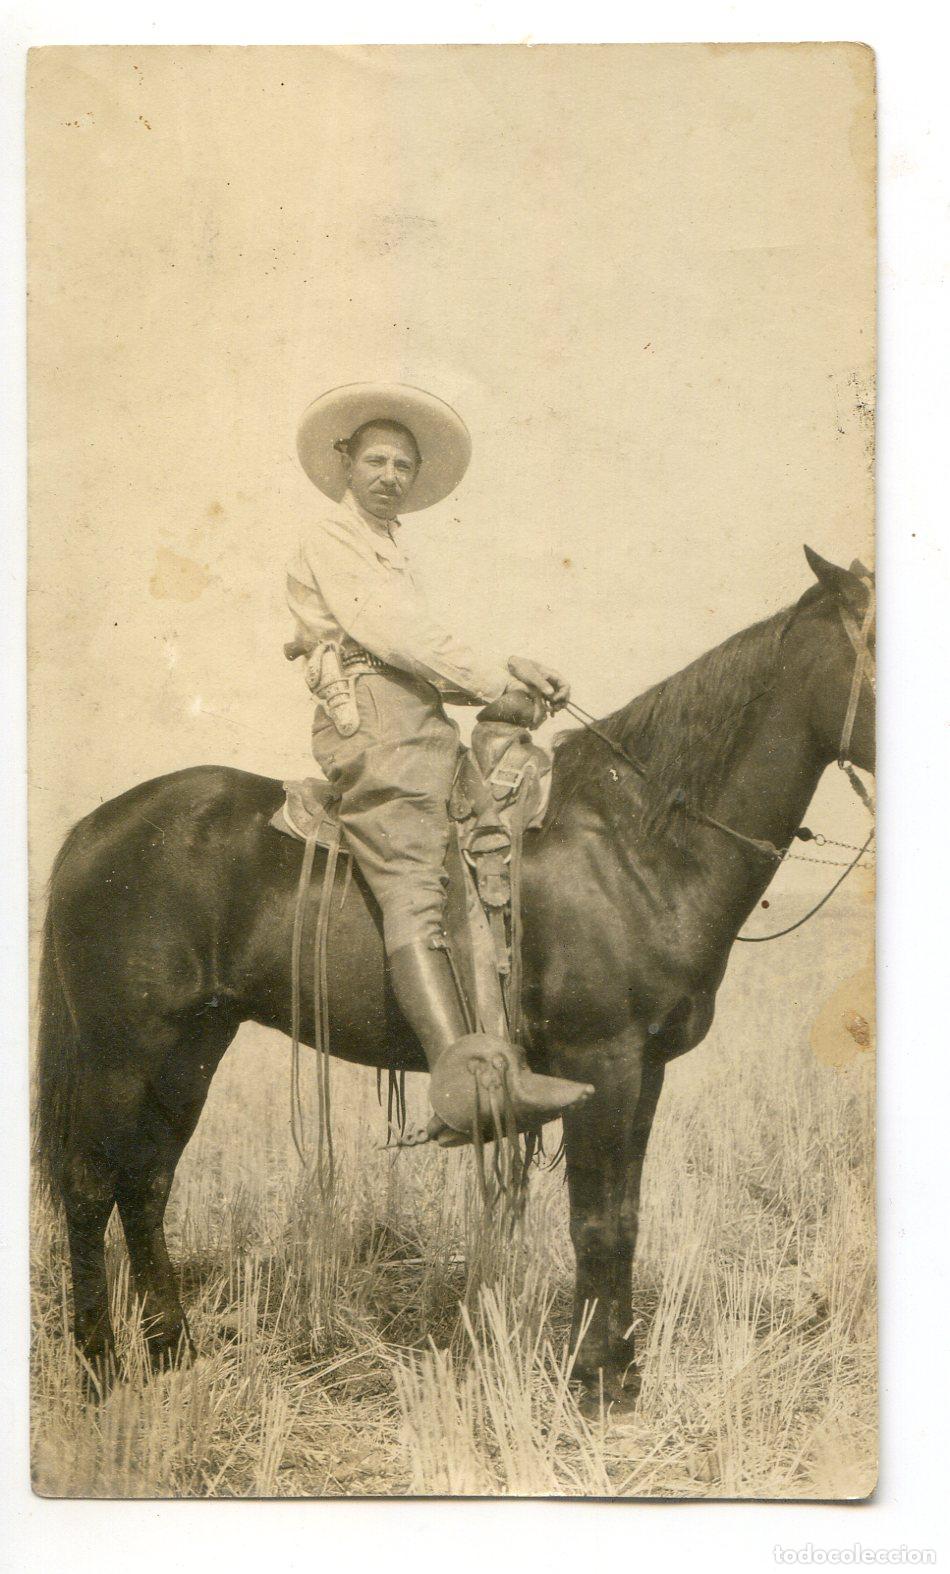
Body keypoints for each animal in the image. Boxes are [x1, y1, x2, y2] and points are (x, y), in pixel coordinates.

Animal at [34, 547, 875, 1402]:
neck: (634, 843)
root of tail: (93, 829)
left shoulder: (645, 1070)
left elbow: (624, 1216)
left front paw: (615, 1369)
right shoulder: (599, 1062)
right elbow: (595, 1221)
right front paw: (594, 1381)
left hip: (191, 1049)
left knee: (146, 1183)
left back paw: (174, 1352)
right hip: (120, 1054)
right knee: (89, 1186)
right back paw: (100, 1366)